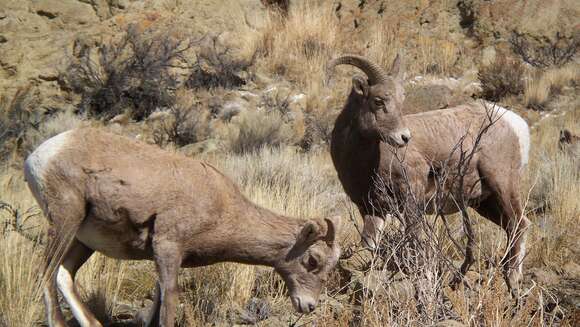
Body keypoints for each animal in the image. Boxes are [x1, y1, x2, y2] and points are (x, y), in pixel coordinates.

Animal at [24, 129, 342, 327]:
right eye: (312, 260)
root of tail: (39, 155)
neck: (221, 206)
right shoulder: (168, 250)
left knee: (64, 274)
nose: (308, 305)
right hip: (65, 221)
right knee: (46, 271)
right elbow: (168, 303)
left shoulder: (165, 258)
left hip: (83, 240)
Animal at [326, 55, 532, 294]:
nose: (404, 138)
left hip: (502, 185)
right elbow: (370, 243)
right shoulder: (371, 208)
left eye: (401, 100)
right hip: (484, 203)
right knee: (512, 226)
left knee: (519, 225)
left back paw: (513, 280)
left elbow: (415, 238)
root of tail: (514, 123)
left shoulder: (411, 196)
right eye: (378, 101)